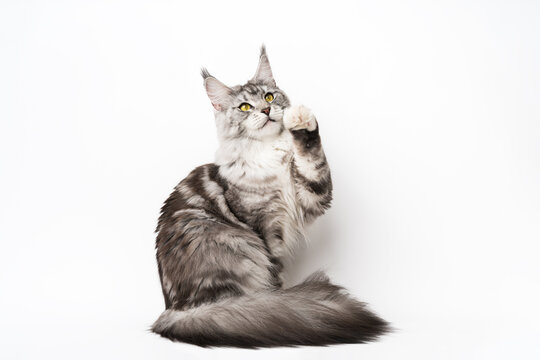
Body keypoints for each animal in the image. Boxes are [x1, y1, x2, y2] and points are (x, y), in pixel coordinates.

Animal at [152, 46, 388, 348]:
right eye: (244, 107)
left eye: (268, 96)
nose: (266, 110)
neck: (269, 152)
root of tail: (175, 310)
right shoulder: (264, 226)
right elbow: (275, 274)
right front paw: (280, 299)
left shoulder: (312, 196)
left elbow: (312, 158)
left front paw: (301, 121)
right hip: (229, 243)